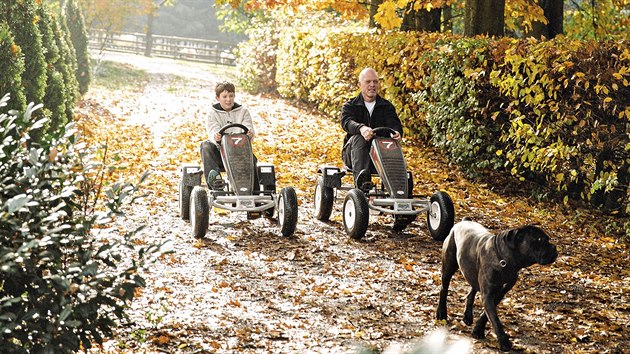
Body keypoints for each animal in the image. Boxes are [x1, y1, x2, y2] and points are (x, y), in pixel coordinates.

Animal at [436, 217, 560, 352]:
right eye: (539, 240)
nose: (554, 248)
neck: (504, 261)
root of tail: (463, 221)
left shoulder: (499, 293)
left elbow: (486, 315)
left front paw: (478, 330)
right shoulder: (488, 295)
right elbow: (495, 319)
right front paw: (504, 342)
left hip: (472, 271)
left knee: (471, 292)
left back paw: (467, 316)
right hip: (449, 265)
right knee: (444, 288)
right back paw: (441, 312)